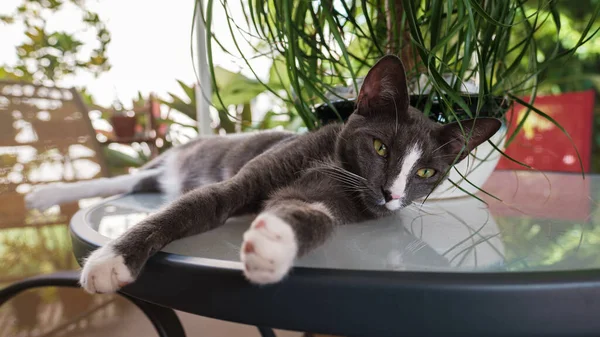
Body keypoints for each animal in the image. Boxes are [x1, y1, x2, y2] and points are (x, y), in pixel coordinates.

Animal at [24, 54, 502, 292]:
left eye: (426, 172)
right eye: (380, 147)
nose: (391, 195)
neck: (331, 159)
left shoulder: (342, 203)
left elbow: (314, 216)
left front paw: (274, 242)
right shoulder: (247, 178)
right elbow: (198, 204)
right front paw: (110, 260)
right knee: (126, 179)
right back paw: (42, 195)